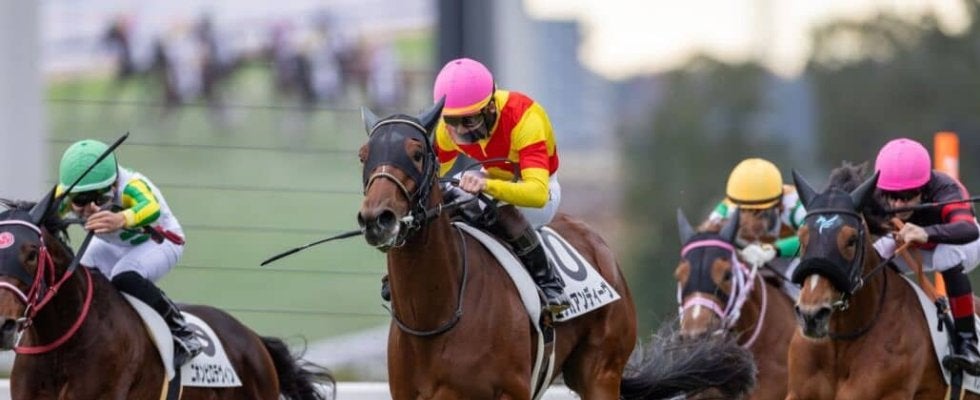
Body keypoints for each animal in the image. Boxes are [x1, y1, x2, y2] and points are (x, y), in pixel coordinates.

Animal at [356, 101, 756, 399]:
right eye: (364, 155)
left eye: (417, 153)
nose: (378, 218)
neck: (436, 316)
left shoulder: (511, 392)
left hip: (600, 373)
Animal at [786, 163, 980, 399]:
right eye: (802, 236)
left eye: (851, 240)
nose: (811, 315)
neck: (841, 341)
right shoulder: (796, 392)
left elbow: (964, 226)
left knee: (950, 257)